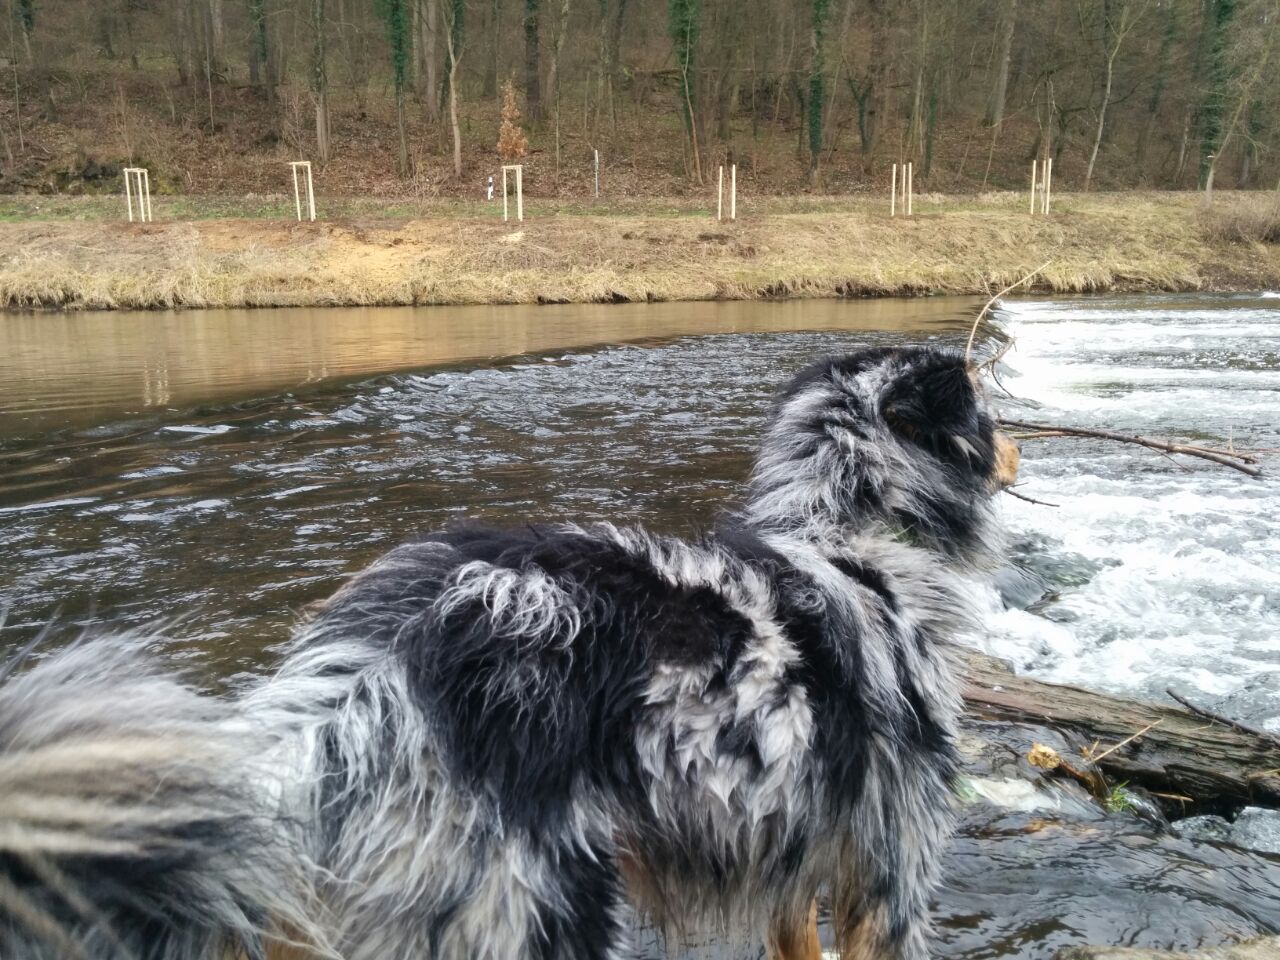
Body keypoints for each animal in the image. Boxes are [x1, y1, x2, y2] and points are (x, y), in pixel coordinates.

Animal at [0, 345, 1018, 960]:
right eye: (985, 405)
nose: (1019, 451)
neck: (852, 536)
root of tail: (371, 675)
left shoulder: (795, 860)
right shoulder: (891, 863)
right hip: (544, 906)